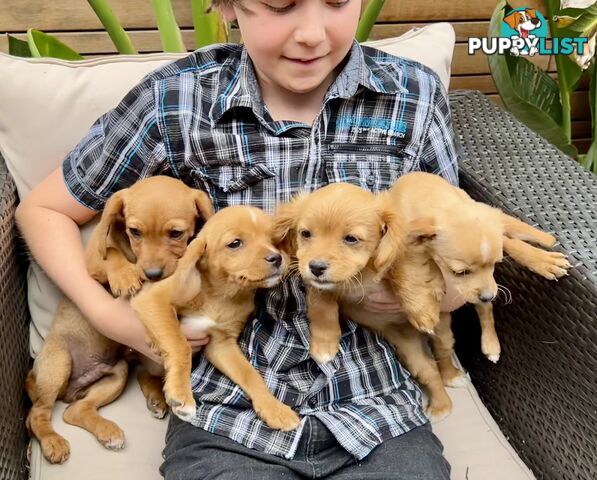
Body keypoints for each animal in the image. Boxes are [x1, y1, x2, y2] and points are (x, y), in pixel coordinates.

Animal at [25, 177, 212, 464]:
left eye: (176, 234)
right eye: (134, 231)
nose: (152, 274)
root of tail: (70, 390)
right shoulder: (92, 260)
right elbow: (112, 251)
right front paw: (124, 277)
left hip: (117, 374)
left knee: (76, 410)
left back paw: (112, 428)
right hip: (57, 365)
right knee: (36, 414)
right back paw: (52, 442)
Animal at [130, 206, 298, 432]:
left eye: (273, 239)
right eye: (235, 243)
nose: (277, 258)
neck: (220, 295)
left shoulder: (221, 344)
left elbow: (250, 374)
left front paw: (274, 408)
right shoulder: (152, 300)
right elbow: (180, 345)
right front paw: (182, 394)